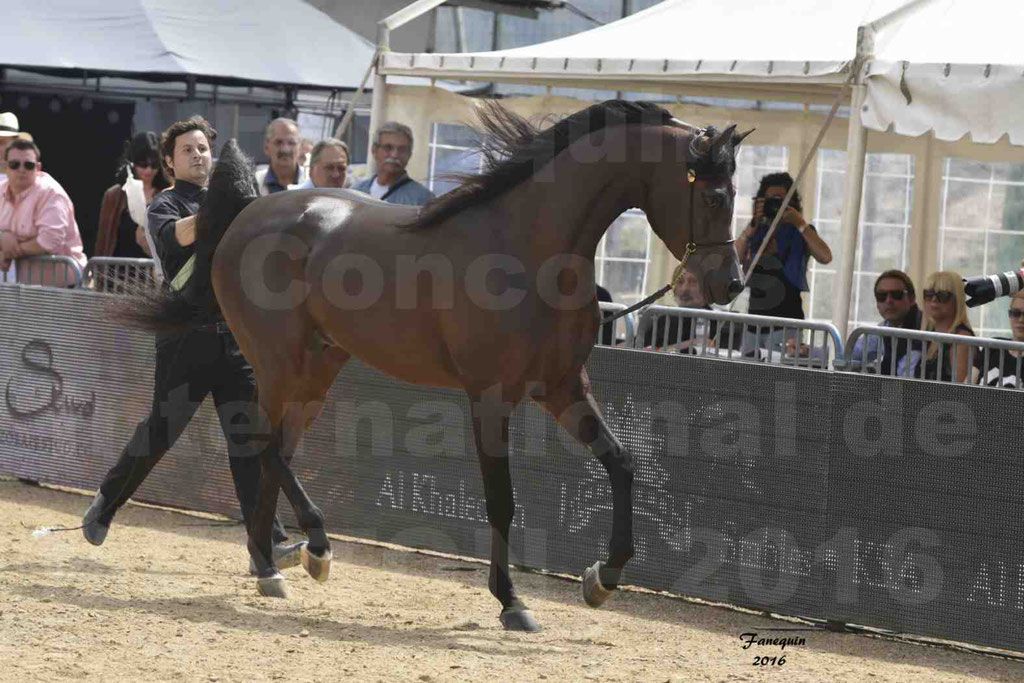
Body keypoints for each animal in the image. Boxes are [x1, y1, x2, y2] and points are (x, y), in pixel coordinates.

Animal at [132, 100, 749, 630]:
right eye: (715, 197)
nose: (730, 284)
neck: (528, 247)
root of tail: (248, 213)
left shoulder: (562, 386)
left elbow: (621, 464)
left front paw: (603, 577)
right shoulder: (491, 397)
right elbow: (501, 499)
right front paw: (512, 602)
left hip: (316, 369)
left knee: (274, 450)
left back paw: (271, 565)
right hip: (279, 362)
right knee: (262, 444)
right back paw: (316, 546)